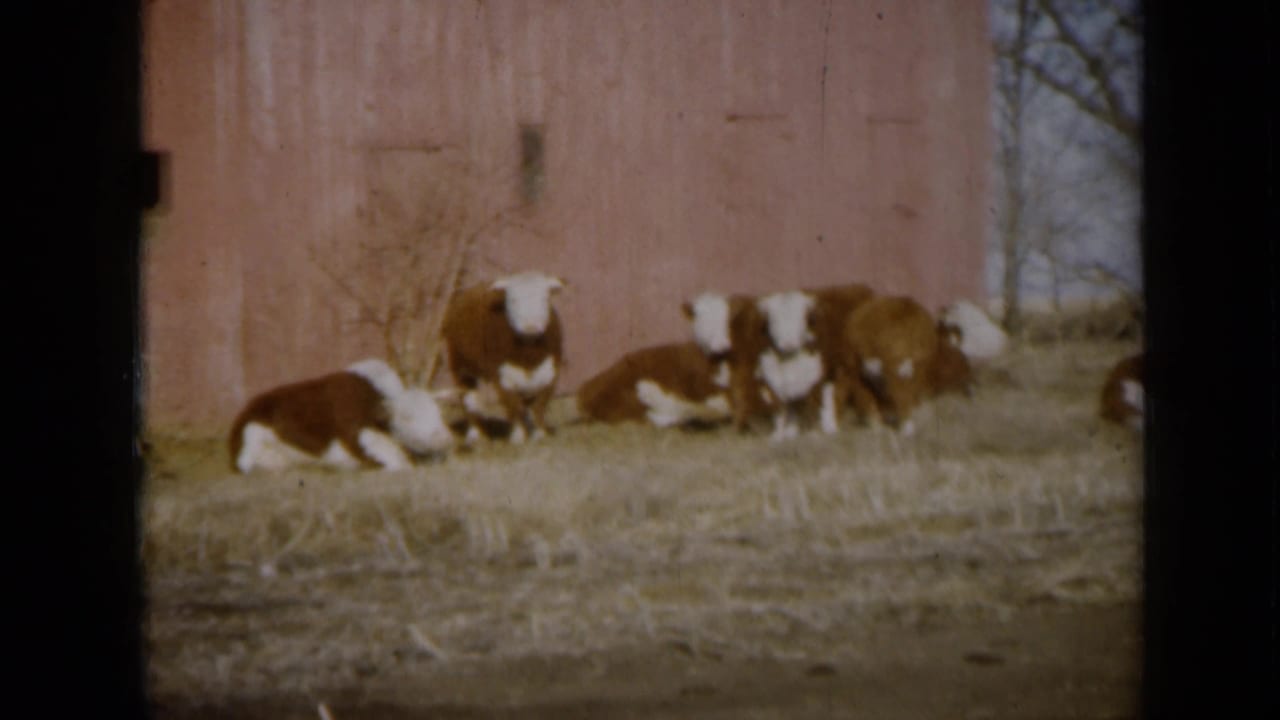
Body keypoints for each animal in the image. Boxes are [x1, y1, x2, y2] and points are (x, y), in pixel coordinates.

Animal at [228, 358, 455, 474]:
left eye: (438, 412)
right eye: (407, 418)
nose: (443, 437)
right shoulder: (359, 439)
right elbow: (398, 465)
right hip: (253, 440)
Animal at [441, 271, 566, 445]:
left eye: (545, 298)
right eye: (512, 300)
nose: (530, 326)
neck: (529, 358)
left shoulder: (551, 374)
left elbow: (538, 407)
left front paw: (539, 434)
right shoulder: (500, 377)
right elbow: (514, 407)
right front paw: (518, 437)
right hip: (460, 366)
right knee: (468, 401)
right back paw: (475, 434)